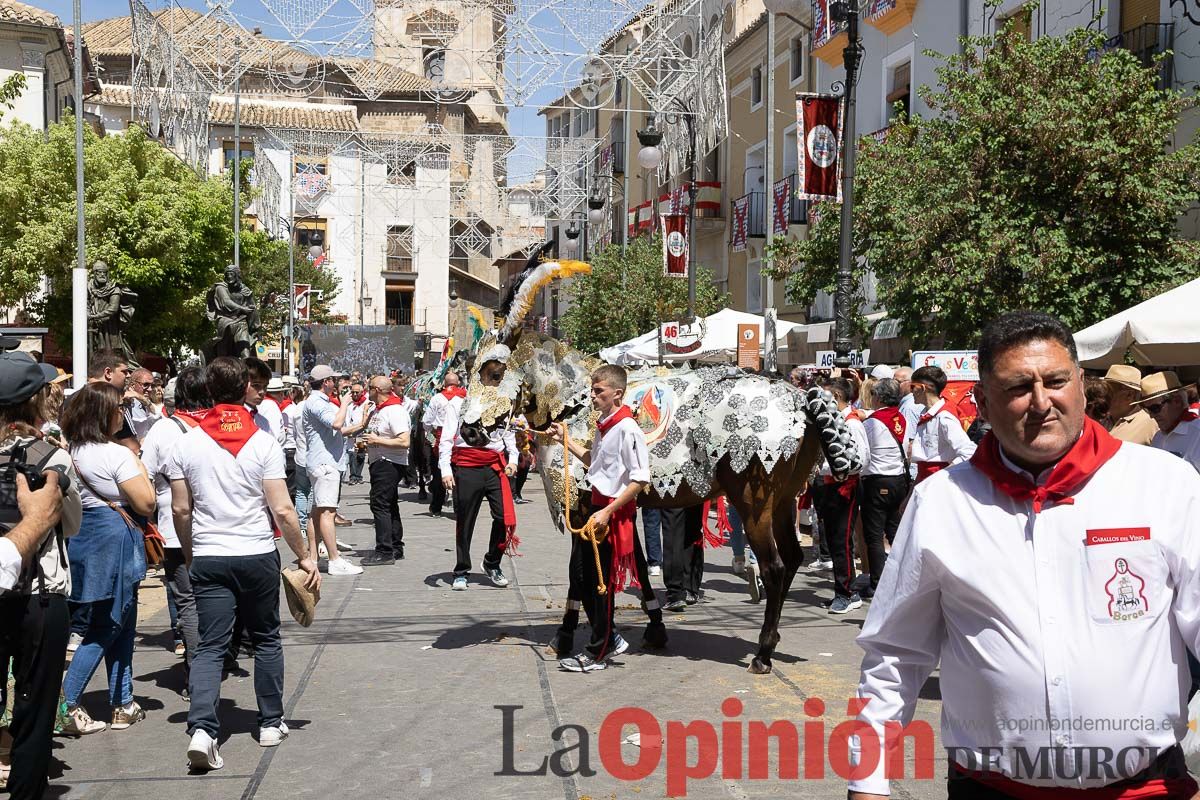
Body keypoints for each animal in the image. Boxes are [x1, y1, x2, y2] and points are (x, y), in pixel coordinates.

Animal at [458, 253, 864, 671]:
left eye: (494, 371)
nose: (469, 431)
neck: (574, 404)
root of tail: (801, 398)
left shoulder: (583, 508)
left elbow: (580, 574)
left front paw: (571, 637)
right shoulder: (617, 505)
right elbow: (633, 562)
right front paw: (651, 628)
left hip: (754, 503)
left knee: (775, 567)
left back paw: (763, 652)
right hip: (783, 501)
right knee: (793, 558)